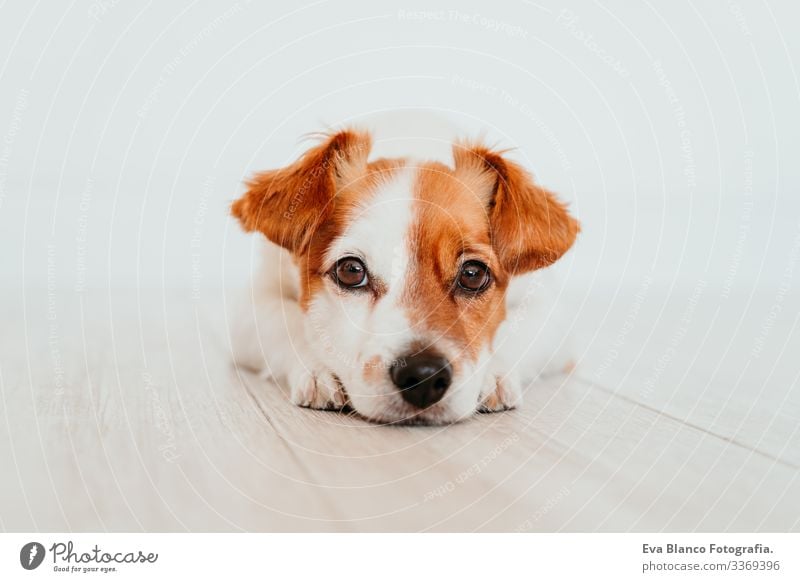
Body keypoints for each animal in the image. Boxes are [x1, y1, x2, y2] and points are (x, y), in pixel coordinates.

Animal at [228, 126, 580, 424]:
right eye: (351, 270)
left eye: (473, 274)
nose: (423, 377)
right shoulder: (249, 308)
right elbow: (289, 323)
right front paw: (317, 369)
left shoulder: (552, 316)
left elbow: (514, 332)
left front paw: (492, 374)